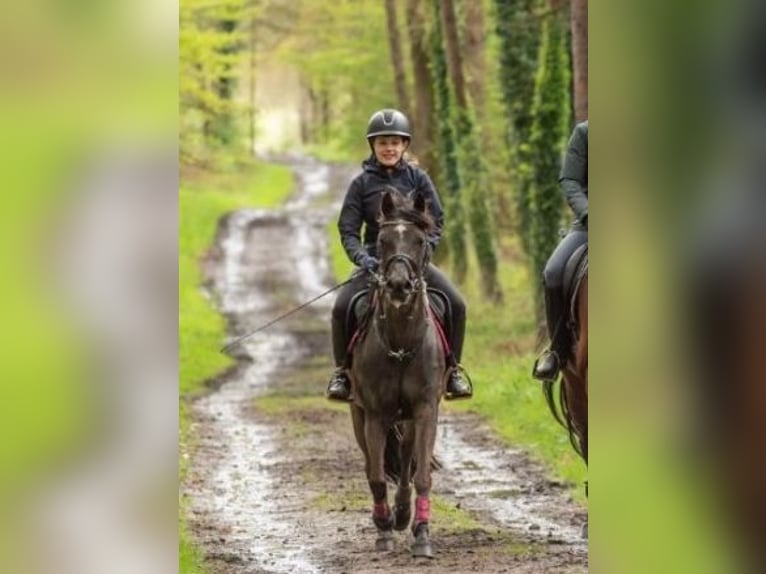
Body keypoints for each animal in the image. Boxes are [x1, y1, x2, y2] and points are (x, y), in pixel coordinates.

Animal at [350, 191, 450, 560]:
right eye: (382, 241)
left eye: (420, 241)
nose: (397, 285)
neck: (400, 343)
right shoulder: (375, 415)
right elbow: (377, 476)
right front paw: (384, 528)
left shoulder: (425, 410)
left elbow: (421, 476)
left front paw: (421, 534)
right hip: (359, 414)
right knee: (371, 464)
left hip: (407, 418)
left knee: (407, 459)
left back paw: (405, 511)